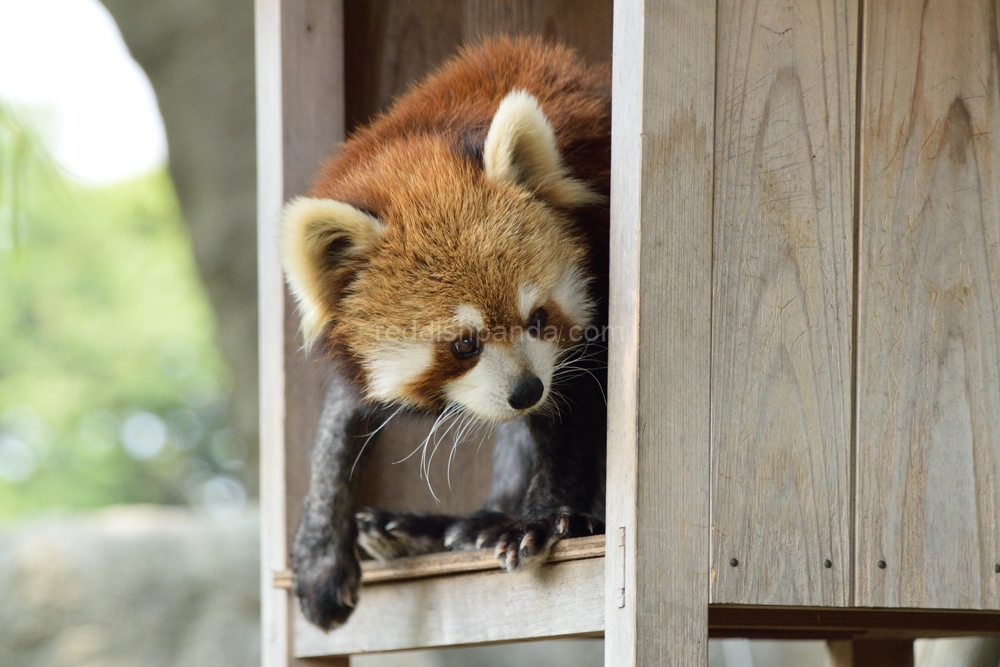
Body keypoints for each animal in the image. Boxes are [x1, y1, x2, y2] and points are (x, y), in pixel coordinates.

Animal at [282, 36, 608, 632]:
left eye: (537, 319)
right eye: (463, 344)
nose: (526, 391)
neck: (430, 140)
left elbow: (574, 410)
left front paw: (543, 516)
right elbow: (342, 416)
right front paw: (318, 554)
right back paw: (435, 528)